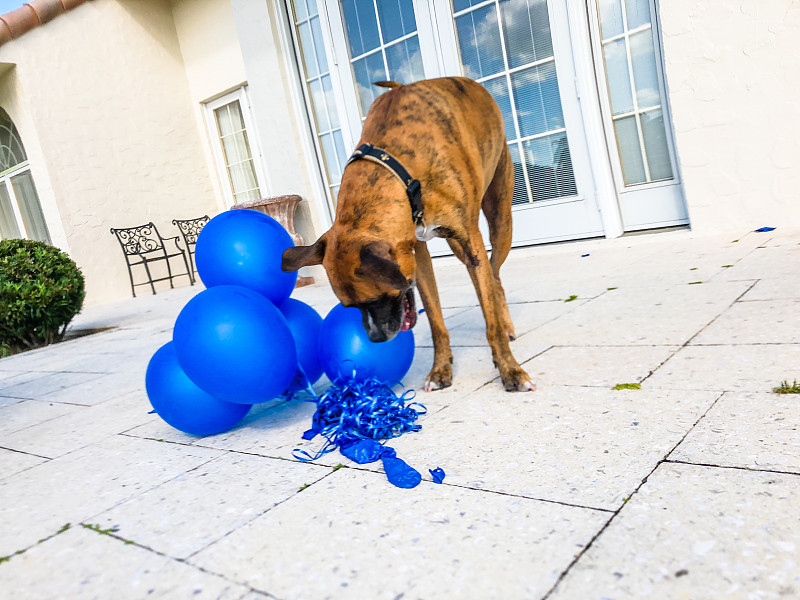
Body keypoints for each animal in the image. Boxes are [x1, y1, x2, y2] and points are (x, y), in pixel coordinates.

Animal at [282, 76, 536, 394]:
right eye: (350, 307)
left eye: (379, 298)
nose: (375, 339)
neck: (401, 172)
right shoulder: (417, 258)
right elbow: (437, 322)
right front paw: (440, 370)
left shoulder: (469, 241)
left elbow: (490, 320)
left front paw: (509, 369)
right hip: (460, 246)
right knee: (487, 278)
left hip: (499, 222)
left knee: (495, 277)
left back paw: (506, 324)